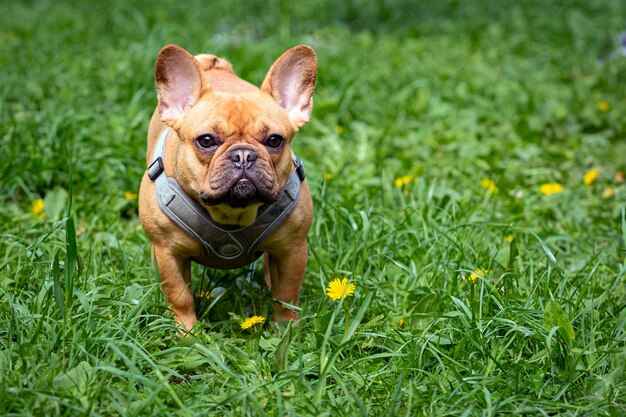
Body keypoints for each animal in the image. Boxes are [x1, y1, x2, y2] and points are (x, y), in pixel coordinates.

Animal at [138, 44, 314, 328]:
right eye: (206, 140)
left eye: (274, 140)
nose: (243, 155)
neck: (232, 211)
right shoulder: (167, 252)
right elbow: (180, 297)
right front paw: (188, 332)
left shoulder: (293, 249)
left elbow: (286, 295)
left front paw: (285, 329)